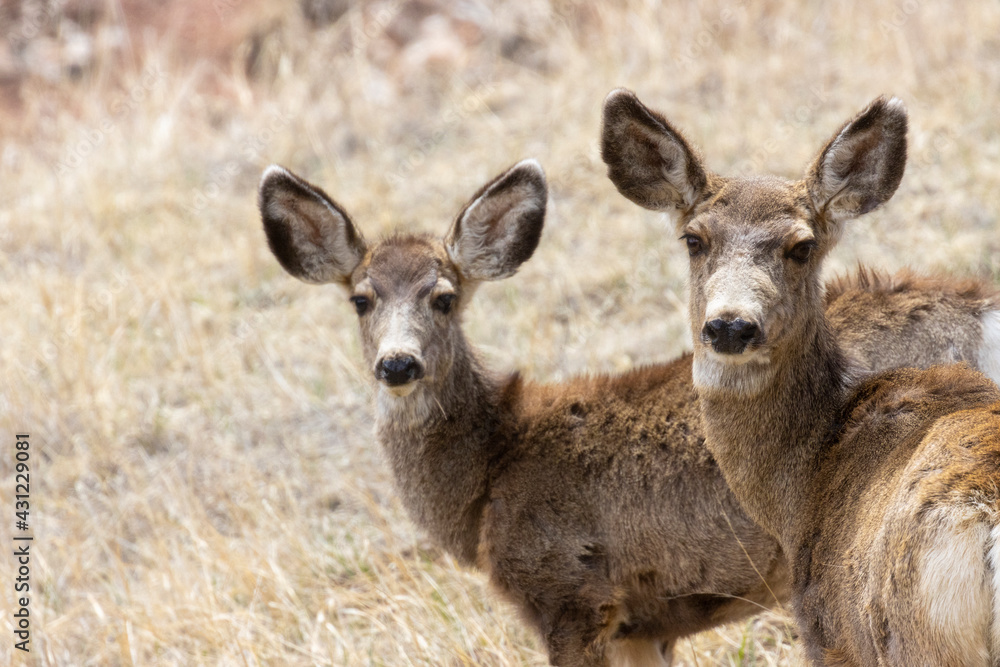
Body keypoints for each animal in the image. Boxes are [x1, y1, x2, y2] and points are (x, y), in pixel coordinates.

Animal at [260, 158, 1000, 667]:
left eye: (443, 297)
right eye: (361, 298)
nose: (398, 364)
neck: (492, 473)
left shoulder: (573, 594)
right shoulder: (648, 622)